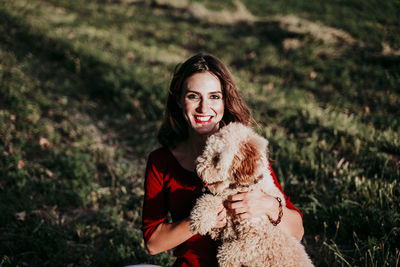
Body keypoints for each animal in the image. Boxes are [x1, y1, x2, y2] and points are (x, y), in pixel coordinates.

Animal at [189, 123, 314, 267]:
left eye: (216, 158)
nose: (195, 170)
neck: (245, 186)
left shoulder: (258, 237)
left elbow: (228, 253)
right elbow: (209, 200)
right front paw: (199, 221)